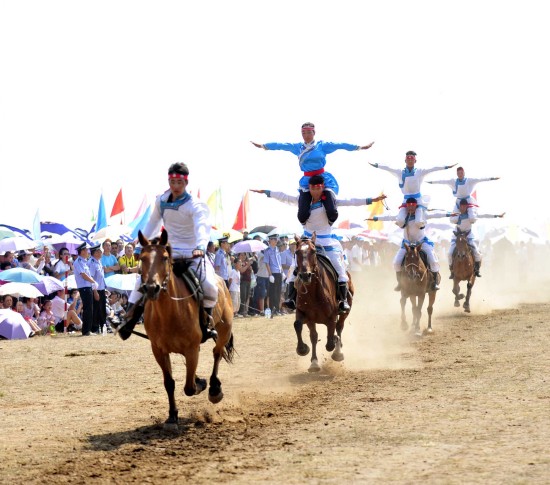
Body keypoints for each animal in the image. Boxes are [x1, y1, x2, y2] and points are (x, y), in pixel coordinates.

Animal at [138, 229, 235, 430]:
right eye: (142, 258)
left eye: (164, 258)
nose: (151, 288)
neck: (169, 312)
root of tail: (222, 281)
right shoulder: (158, 350)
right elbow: (169, 383)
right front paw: (172, 417)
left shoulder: (191, 348)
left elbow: (189, 388)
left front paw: (201, 384)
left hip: (224, 330)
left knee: (217, 353)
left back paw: (214, 388)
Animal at [294, 233, 354, 372]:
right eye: (296, 252)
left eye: (313, 251)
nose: (305, 275)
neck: (313, 293)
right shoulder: (305, 316)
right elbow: (300, 327)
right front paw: (305, 352)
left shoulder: (331, 317)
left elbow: (330, 342)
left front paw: (337, 346)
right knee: (316, 336)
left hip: (345, 311)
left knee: (339, 326)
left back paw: (338, 351)